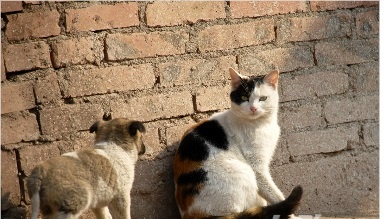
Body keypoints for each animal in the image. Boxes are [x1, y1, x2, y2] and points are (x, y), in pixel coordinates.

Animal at [172, 67, 302, 218]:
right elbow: (274, 194)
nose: (253, 108)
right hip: (243, 173)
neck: (261, 124)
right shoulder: (257, 167)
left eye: (263, 98)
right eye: (244, 98)